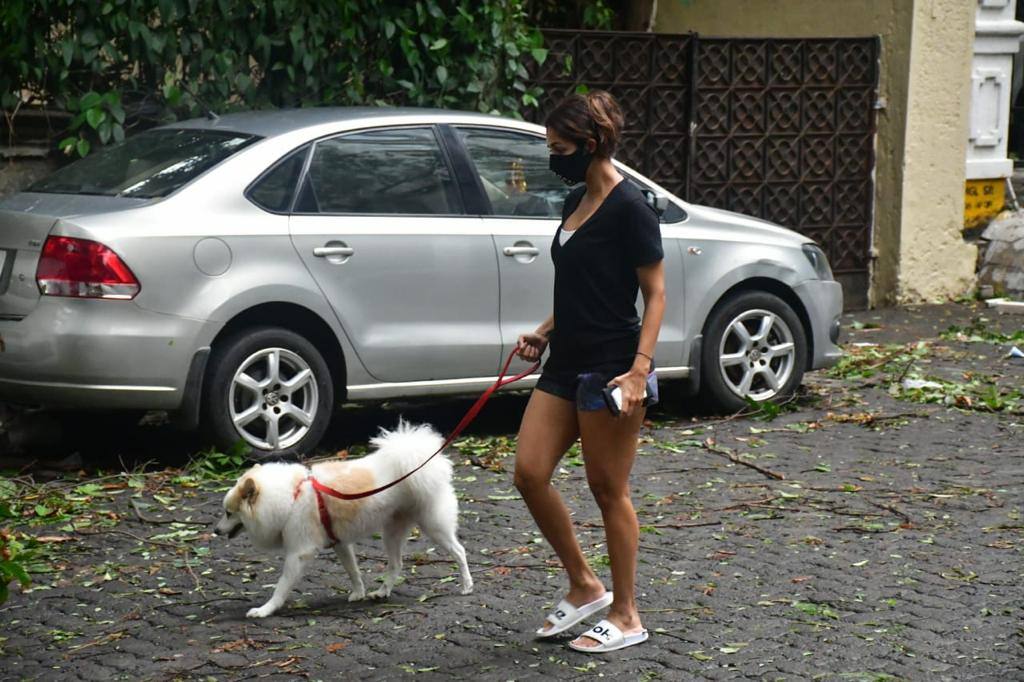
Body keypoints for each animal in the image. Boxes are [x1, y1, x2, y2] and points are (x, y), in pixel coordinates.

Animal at [216, 419, 475, 614]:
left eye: (229, 513)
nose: (216, 531)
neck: (292, 497)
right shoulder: (340, 543)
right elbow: (353, 572)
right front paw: (359, 593)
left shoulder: (299, 553)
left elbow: (281, 587)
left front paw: (265, 609)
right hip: (391, 533)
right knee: (396, 564)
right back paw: (382, 592)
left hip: (434, 526)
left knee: (459, 551)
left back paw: (466, 585)